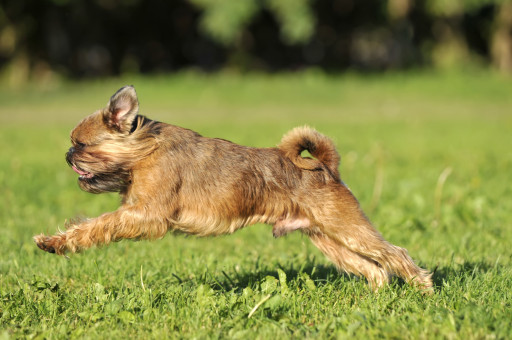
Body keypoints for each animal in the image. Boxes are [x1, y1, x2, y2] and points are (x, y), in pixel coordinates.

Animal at [33, 85, 432, 290]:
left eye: (81, 144)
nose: (68, 154)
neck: (144, 149)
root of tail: (325, 167)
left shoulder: (146, 215)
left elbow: (98, 225)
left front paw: (56, 242)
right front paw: (55, 241)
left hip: (346, 227)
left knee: (395, 254)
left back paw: (421, 288)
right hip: (328, 239)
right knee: (374, 269)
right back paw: (376, 298)